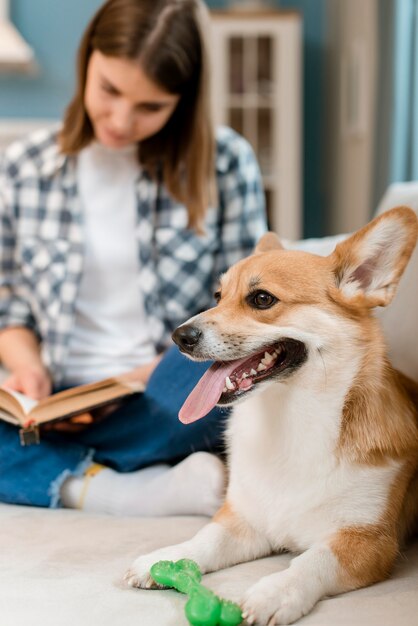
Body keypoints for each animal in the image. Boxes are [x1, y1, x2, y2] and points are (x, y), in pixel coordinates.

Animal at [125, 207, 418, 620]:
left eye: (262, 299)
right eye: (218, 296)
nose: (179, 337)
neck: (291, 420)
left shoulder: (369, 542)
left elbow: (312, 561)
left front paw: (275, 591)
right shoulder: (243, 520)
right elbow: (207, 538)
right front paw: (168, 557)